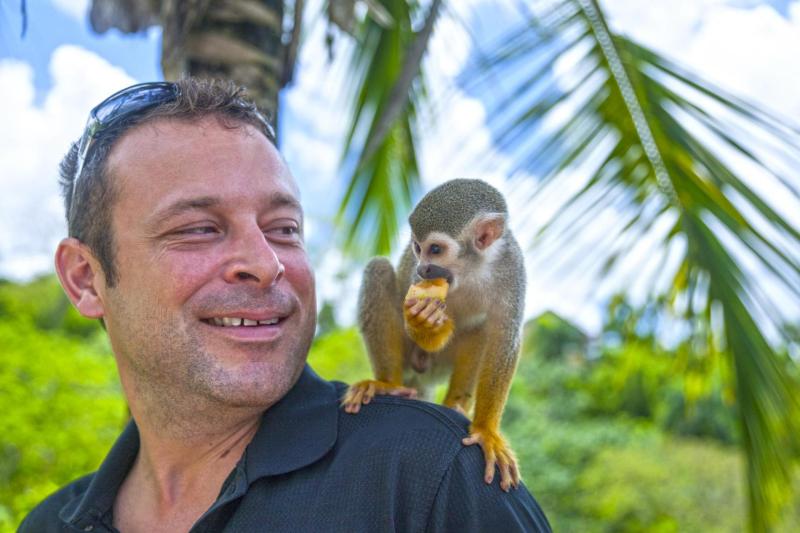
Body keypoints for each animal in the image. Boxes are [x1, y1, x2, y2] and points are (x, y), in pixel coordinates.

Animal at [342, 178, 526, 492]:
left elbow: (505, 338)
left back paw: (457, 403)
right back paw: (387, 384)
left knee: (480, 329)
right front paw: (424, 322)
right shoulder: (420, 282)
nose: (422, 267)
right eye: (417, 248)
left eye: (436, 249)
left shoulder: (512, 269)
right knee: (378, 269)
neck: (472, 269)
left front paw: (485, 431)